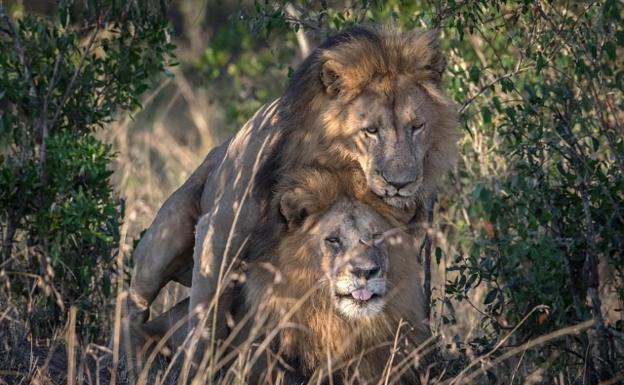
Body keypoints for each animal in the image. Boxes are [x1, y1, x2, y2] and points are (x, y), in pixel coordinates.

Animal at [122, 25, 456, 362]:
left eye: (417, 126)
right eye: (370, 130)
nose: (400, 183)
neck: (339, 166)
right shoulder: (219, 230)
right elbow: (205, 318)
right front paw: (196, 365)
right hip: (164, 241)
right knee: (134, 306)